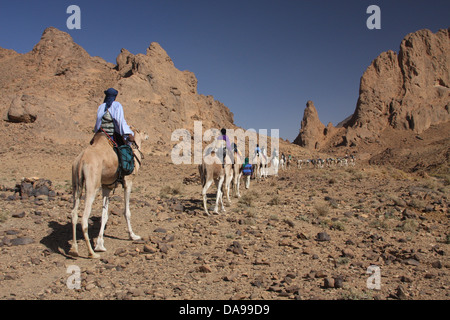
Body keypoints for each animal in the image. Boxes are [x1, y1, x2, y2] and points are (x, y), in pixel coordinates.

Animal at [68, 129, 147, 258]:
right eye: (143, 132)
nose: (147, 135)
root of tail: (81, 160)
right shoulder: (128, 183)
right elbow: (127, 212)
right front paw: (133, 236)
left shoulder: (107, 187)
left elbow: (104, 215)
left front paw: (100, 245)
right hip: (92, 185)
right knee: (84, 217)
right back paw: (92, 253)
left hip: (75, 183)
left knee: (74, 213)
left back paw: (74, 249)